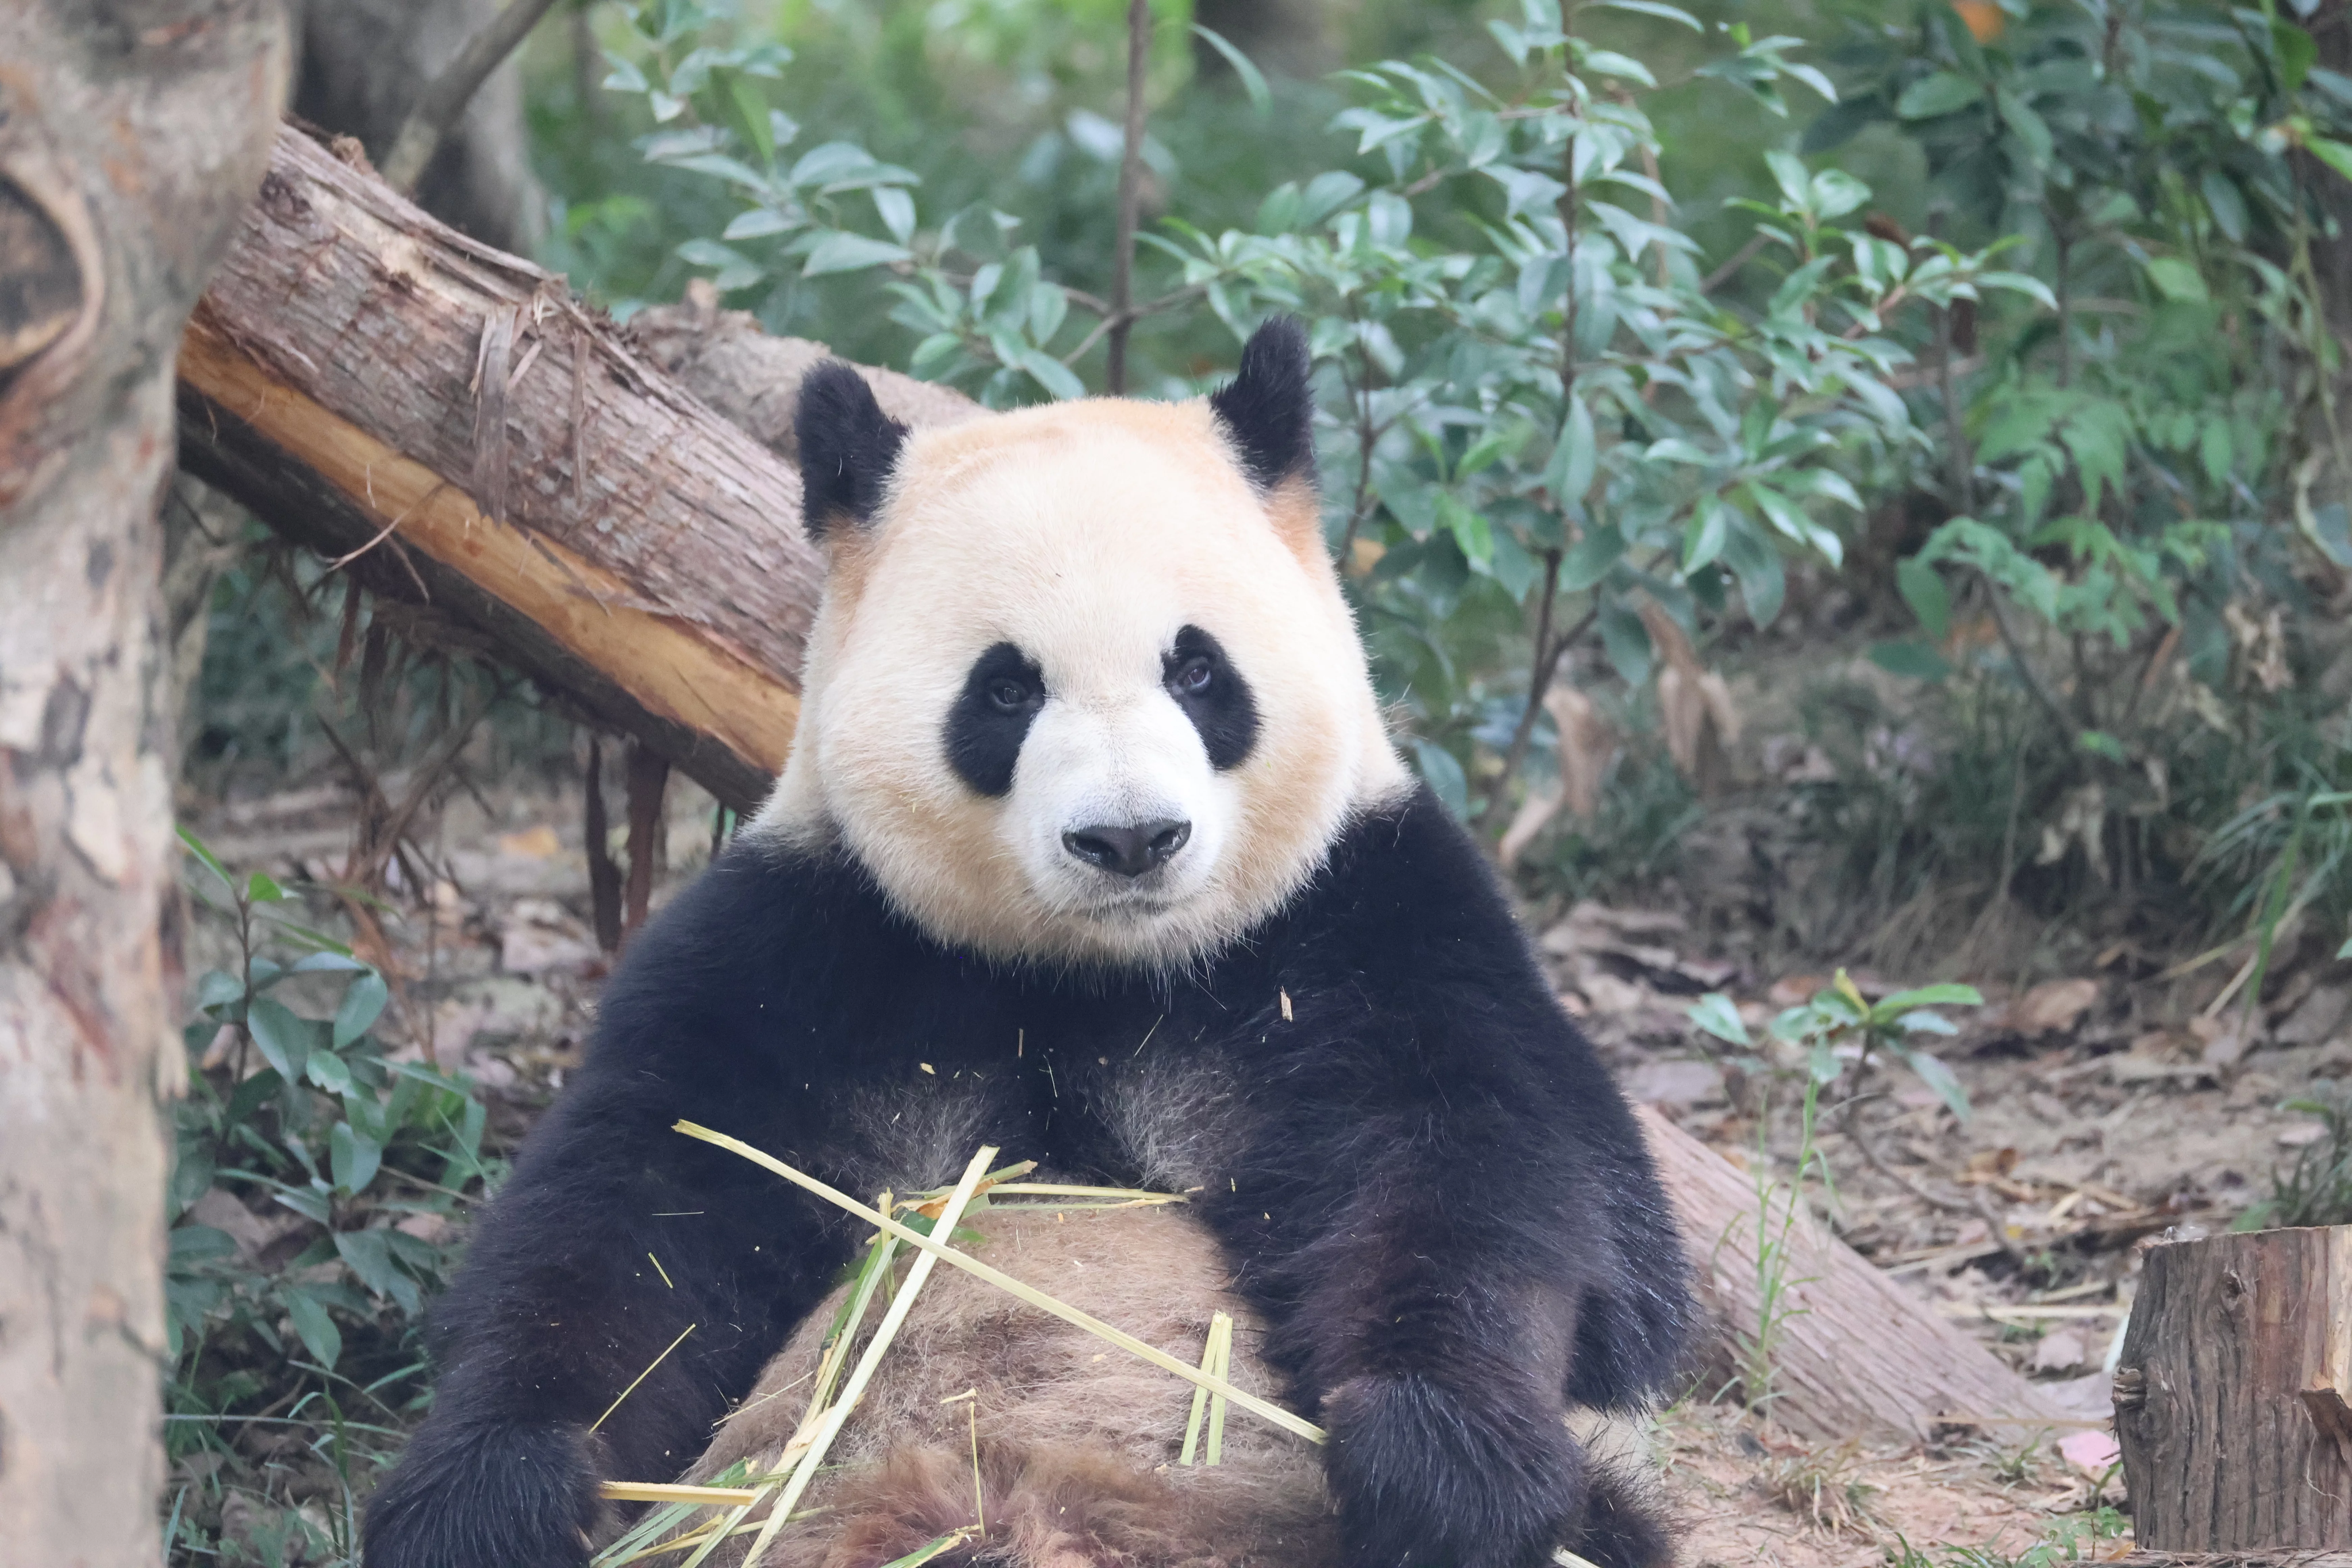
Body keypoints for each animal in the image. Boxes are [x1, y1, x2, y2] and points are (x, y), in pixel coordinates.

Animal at [359, 317, 1693, 1568]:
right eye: (1005, 689)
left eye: (1197, 669)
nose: (1130, 838)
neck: (1091, 972)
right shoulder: (814, 949)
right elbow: (637, 1213)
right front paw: (487, 1495)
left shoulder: (1362, 926)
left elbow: (1476, 1166)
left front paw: (1440, 1464)